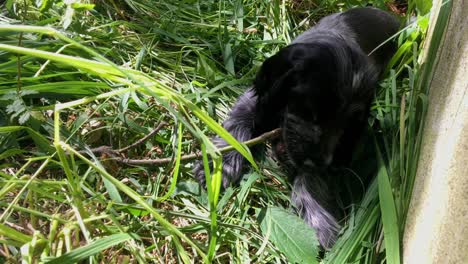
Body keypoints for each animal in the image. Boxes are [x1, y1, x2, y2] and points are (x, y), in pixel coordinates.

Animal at [194, 7, 398, 249]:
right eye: (310, 111)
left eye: (346, 124)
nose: (323, 162)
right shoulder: (256, 99)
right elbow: (237, 123)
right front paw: (221, 165)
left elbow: (312, 177)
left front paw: (317, 219)